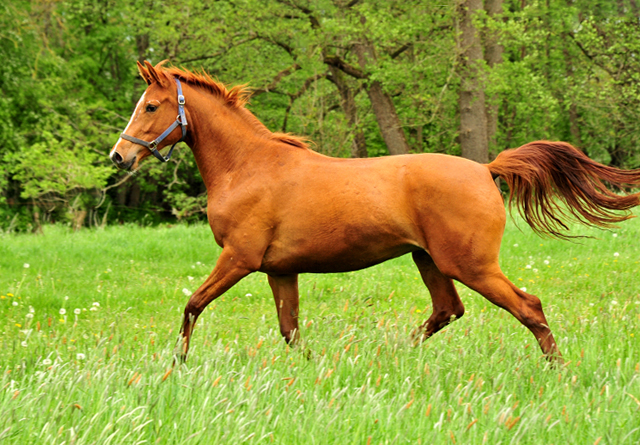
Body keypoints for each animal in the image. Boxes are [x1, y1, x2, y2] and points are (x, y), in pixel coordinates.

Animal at [110, 61, 640, 360]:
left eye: (152, 106)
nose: (119, 156)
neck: (249, 167)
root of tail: (486, 169)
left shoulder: (238, 258)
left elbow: (193, 305)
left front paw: (176, 365)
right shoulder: (279, 270)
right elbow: (290, 330)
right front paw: (311, 369)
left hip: (469, 264)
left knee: (528, 306)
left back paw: (558, 369)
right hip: (429, 260)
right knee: (447, 310)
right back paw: (394, 356)